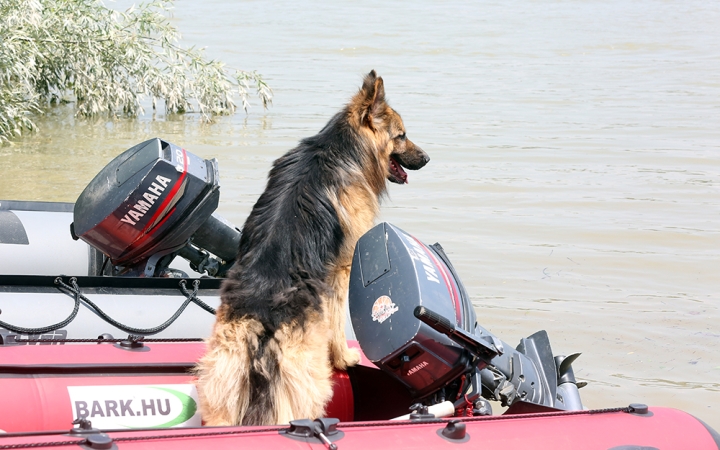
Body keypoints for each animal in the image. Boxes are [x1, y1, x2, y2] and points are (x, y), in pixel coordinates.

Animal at [193, 70, 428, 426]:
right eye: (401, 135)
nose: (427, 158)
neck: (341, 147)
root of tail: (262, 319)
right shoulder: (342, 267)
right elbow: (336, 317)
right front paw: (344, 358)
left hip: (223, 389)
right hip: (303, 390)